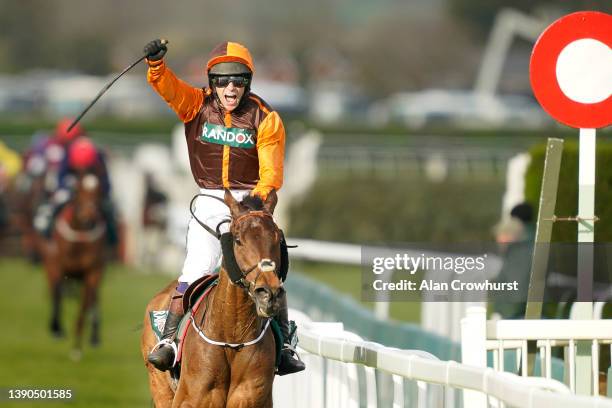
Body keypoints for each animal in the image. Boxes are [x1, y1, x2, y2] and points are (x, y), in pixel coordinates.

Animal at [41, 174, 107, 358]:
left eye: (99, 191)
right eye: (78, 190)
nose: (89, 216)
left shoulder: (92, 273)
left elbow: (84, 307)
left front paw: (77, 348)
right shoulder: (57, 267)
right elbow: (57, 295)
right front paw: (56, 329)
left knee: (94, 300)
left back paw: (94, 337)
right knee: (55, 293)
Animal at [143, 191, 284, 408]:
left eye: (277, 238)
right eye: (238, 240)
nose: (268, 293)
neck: (231, 337)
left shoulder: (250, 396)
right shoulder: (193, 398)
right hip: (160, 387)